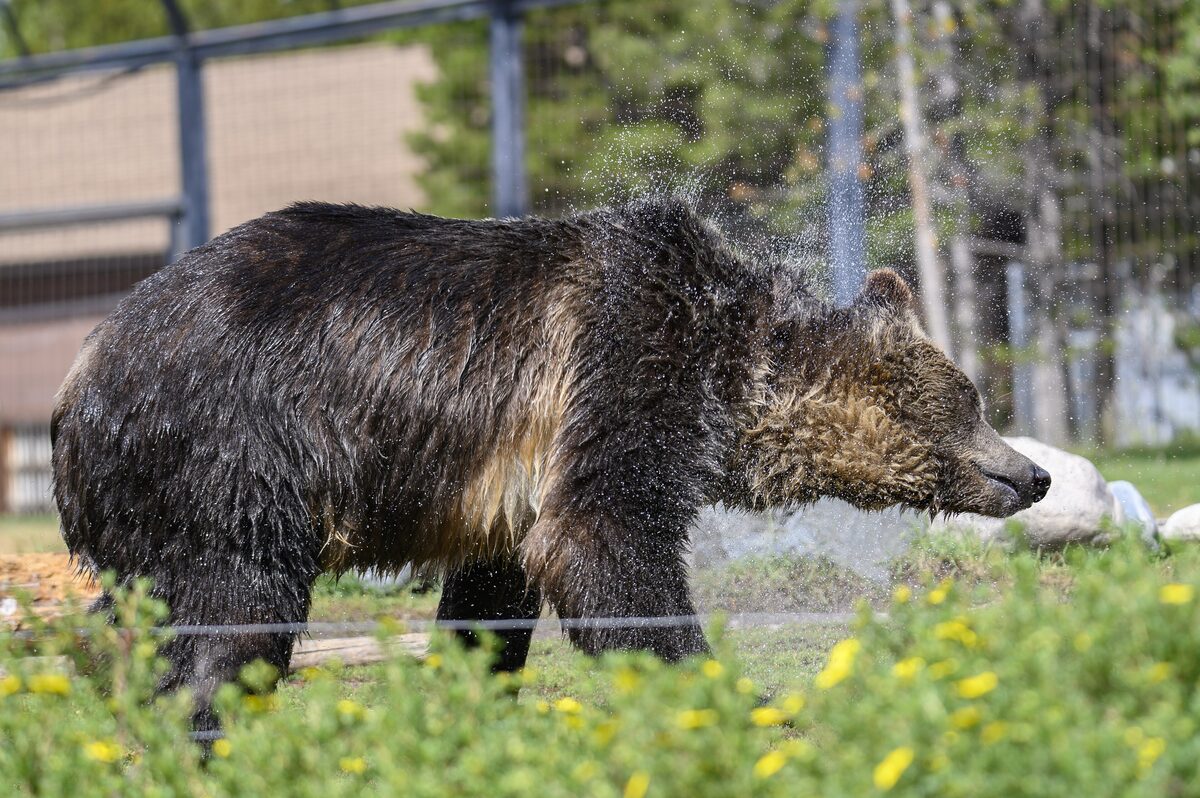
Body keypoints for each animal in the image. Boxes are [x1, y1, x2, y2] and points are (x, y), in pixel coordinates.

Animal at [51, 198, 1050, 732]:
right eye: (973, 400)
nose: (1032, 474)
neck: (731, 370)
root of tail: (81, 372)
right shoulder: (626, 359)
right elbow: (603, 540)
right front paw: (740, 692)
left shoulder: (507, 484)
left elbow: (496, 586)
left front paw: (472, 698)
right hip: (235, 451)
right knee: (236, 608)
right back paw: (201, 727)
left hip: (148, 499)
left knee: (146, 605)